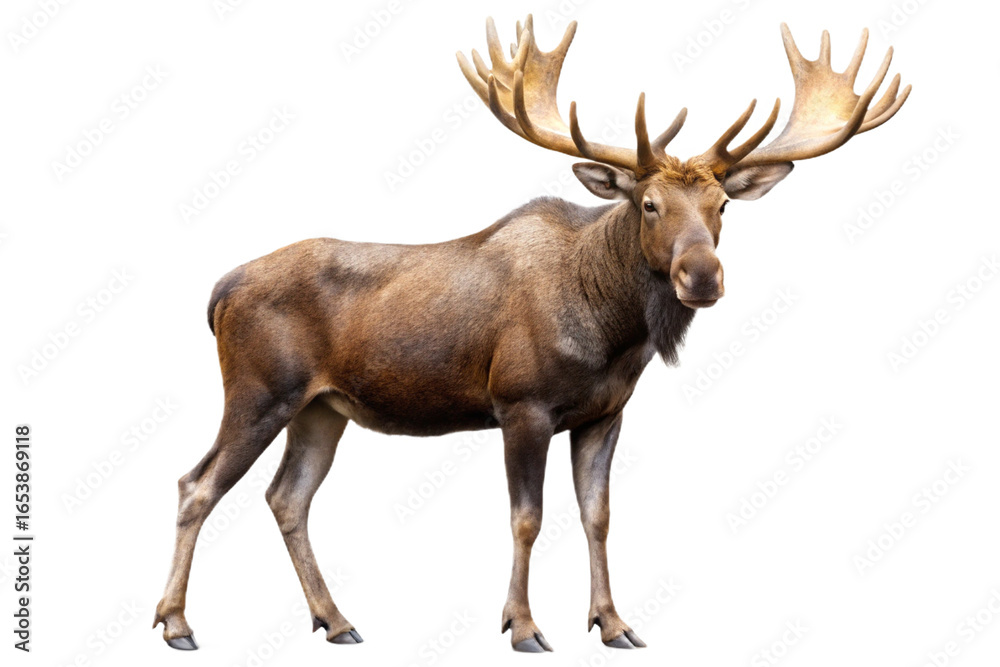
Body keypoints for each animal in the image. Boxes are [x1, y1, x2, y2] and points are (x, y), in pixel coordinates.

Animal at [154, 16, 909, 653]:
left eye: (723, 205)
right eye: (648, 203)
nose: (702, 276)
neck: (613, 334)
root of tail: (218, 292)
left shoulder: (605, 414)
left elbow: (597, 515)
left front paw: (614, 623)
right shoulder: (520, 403)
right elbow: (528, 517)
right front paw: (522, 626)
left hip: (322, 407)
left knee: (287, 496)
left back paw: (336, 620)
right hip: (260, 391)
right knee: (197, 483)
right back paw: (177, 623)